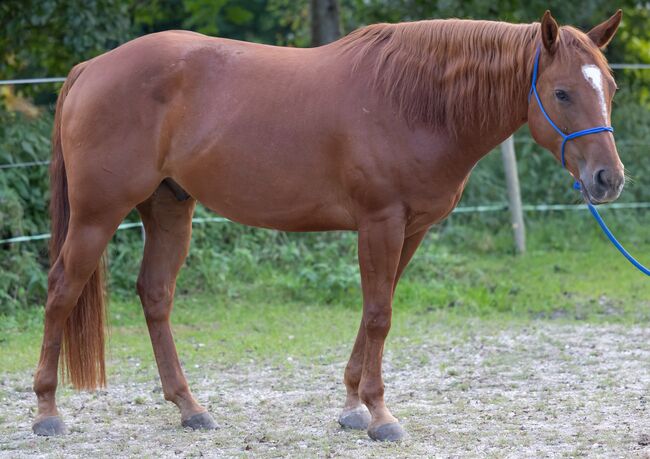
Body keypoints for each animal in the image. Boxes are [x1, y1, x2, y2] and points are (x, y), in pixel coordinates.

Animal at [34, 10, 624, 442]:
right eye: (562, 93)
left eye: (612, 87)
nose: (608, 179)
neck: (415, 101)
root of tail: (91, 68)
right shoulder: (381, 223)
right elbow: (380, 316)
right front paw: (381, 416)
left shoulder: (410, 230)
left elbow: (373, 311)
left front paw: (353, 406)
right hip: (97, 216)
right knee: (62, 290)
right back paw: (47, 412)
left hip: (170, 209)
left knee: (155, 295)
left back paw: (190, 408)